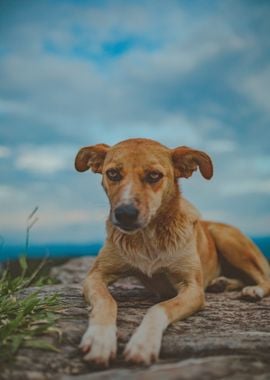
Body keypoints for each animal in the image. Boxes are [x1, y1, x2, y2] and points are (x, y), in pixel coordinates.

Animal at [74, 137, 270, 366]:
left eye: (154, 175)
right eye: (113, 173)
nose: (125, 213)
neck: (148, 238)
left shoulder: (192, 289)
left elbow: (158, 308)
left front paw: (143, 343)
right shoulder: (95, 276)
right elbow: (107, 301)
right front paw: (100, 339)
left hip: (227, 239)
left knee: (264, 278)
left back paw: (253, 290)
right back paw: (221, 283)